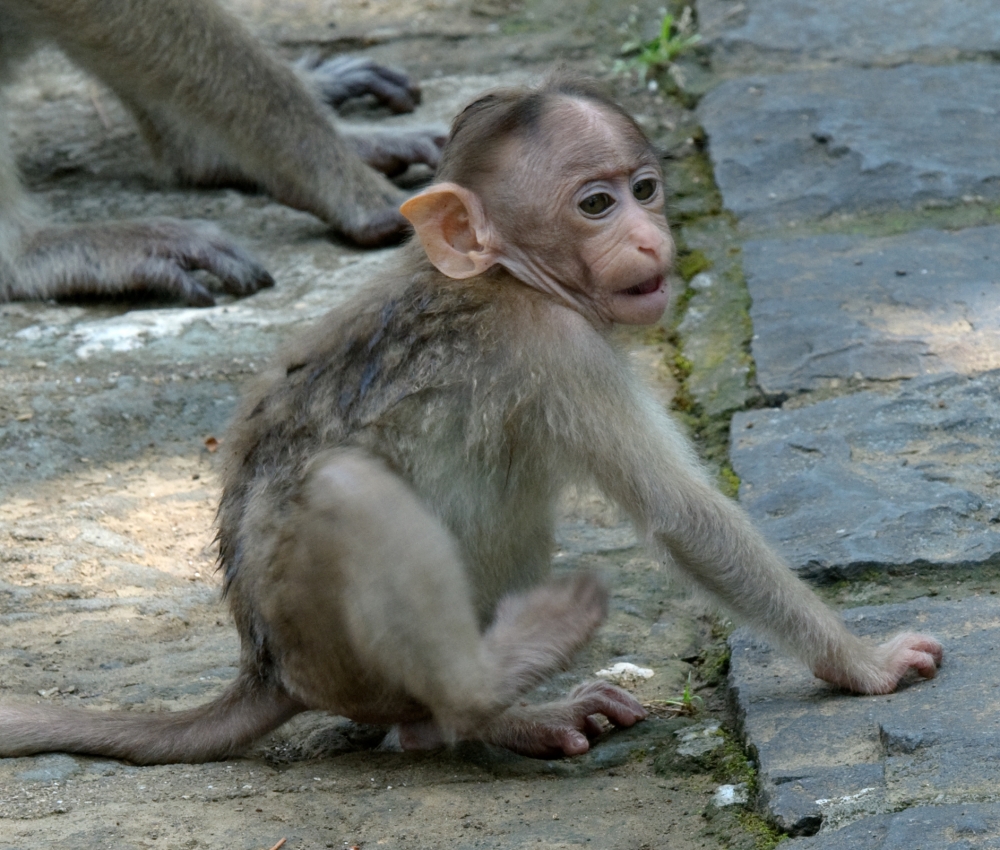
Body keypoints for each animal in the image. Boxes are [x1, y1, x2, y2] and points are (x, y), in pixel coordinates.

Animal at [0, 74, 940, 760]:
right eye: (596, 205)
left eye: (645, 190)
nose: (652, 240)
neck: (510, 277)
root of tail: (264, 668)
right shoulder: (560, 348)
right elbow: (687, 518)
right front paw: (861, 664)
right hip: (329, 645)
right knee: (350, 491)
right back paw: (487, 698)